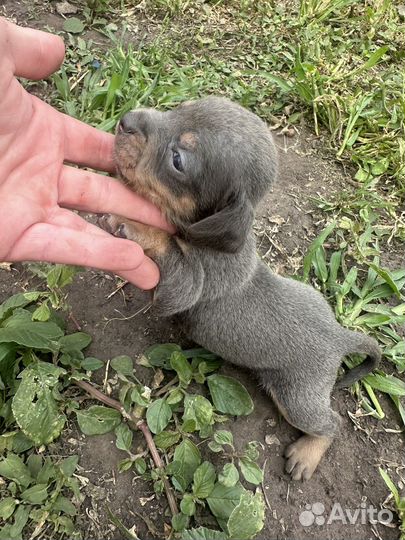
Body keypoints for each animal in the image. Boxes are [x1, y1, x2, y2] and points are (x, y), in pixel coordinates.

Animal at [103, 98, 378, 480]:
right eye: (178, 108)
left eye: (178, 161)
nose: (125, 120)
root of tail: (339, 337)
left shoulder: (190, 284)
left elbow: (168, 251)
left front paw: (136, 224)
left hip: (297, 396)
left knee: (330, 423)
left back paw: (307, 454)